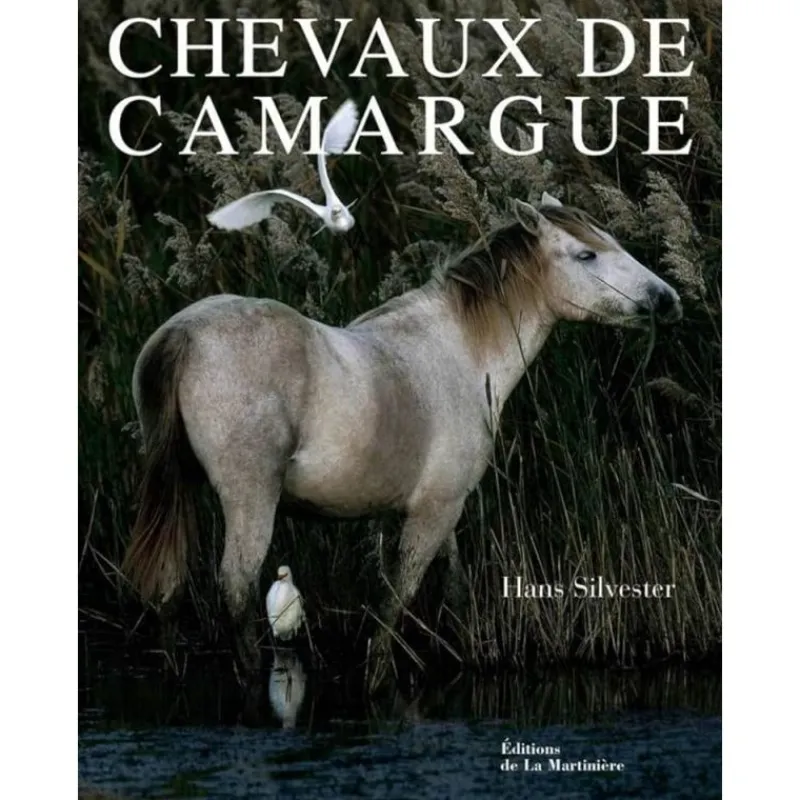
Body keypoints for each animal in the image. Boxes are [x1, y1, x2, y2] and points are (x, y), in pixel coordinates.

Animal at [123, 192, 682, 696]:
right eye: (587, 254)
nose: (667, 300)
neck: (462, 352)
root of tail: (184, 334)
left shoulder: (444, 510)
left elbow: (453, 586)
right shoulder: (434, 510)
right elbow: (396, 599)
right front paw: (379, 681)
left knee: (168, 589)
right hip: (250, 498)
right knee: (237, 589)